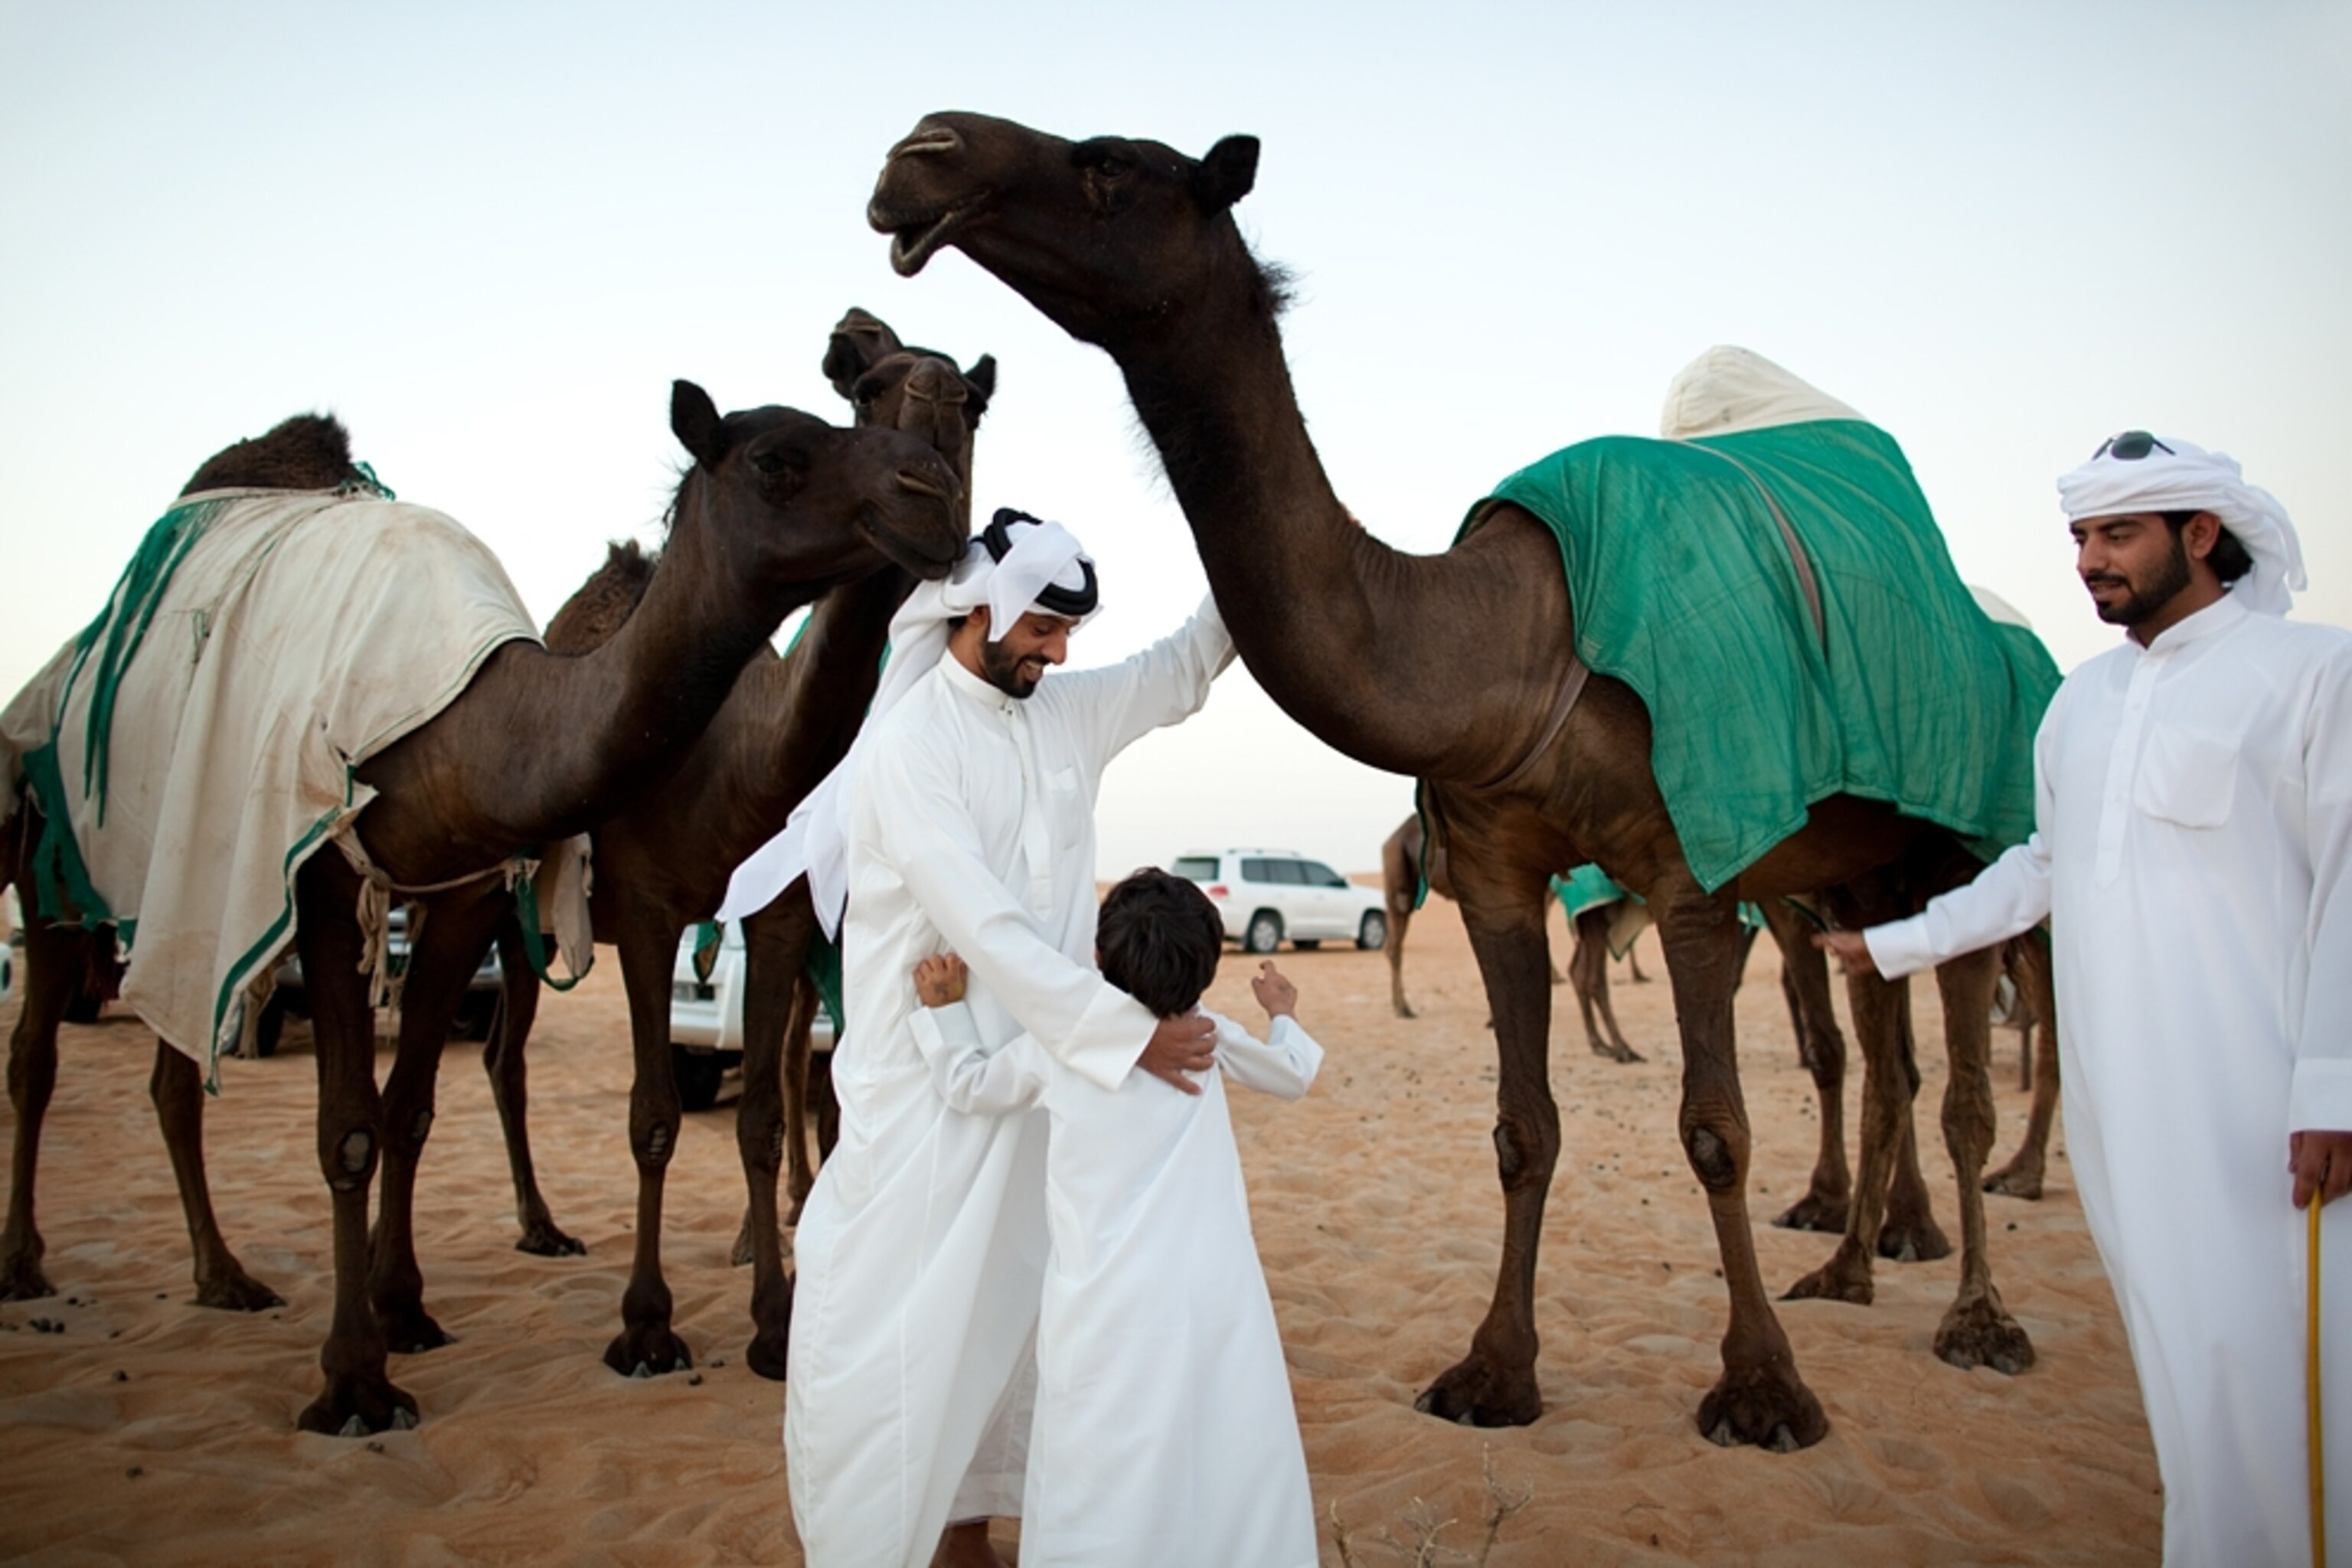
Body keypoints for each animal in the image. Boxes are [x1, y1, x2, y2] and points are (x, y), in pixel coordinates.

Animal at [0, 390, 962, 1434]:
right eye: (778, 460)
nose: (934, 488)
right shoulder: (548, 898)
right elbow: (411, 1123)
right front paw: (370, 1379)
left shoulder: (539, 898)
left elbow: (736, 1114)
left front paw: (775, 1333)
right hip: (68, 875)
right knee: (46, 1055)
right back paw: (58, 1265)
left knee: (456, 1062)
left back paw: (341, 1265)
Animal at [500, 309, 992, 1380]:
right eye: (868, 389)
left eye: (975, 401)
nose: (930, 476)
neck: (734, 762)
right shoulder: (647, 912)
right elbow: (653, 1115)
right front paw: (646, 1324)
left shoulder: (777, 914)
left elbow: (767, 1114)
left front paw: (777, 1320)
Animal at [868, 111, 2047, 1449]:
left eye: (1110, 161)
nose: (924, 149)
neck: (1505, 650)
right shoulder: (1491, 870)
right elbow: (1520, 1127)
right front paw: (1492, 1373)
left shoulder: (1690, 868)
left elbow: (1713, 1130)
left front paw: (1763, 1391)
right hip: (1853, 880)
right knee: (1890, 1060)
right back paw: (1854, 1263)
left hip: (1955, 847)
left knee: (1957, 1086)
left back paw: (1979, 1321)